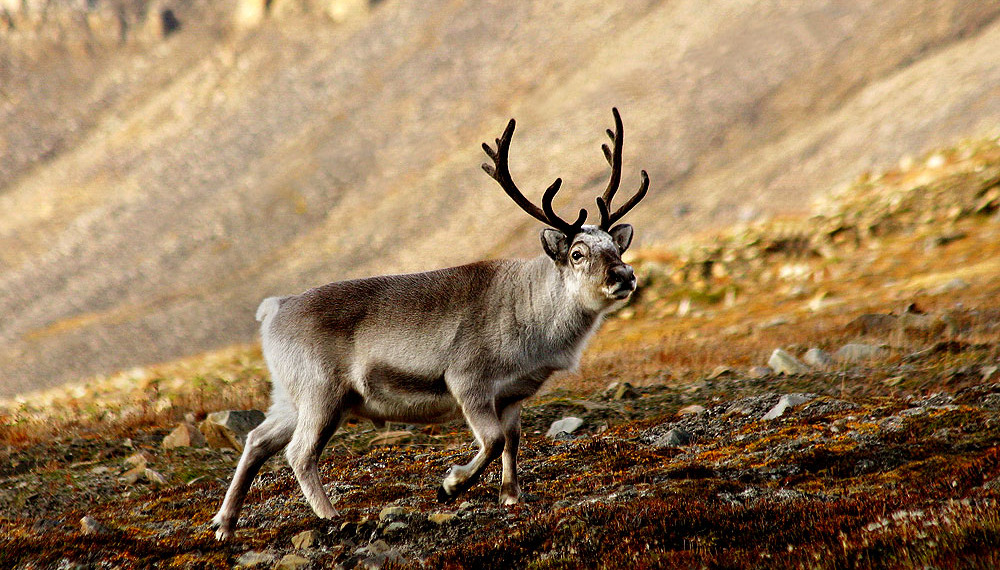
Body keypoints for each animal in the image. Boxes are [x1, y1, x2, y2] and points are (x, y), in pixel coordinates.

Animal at [211, 108, 649, 540]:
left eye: (616, 246)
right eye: (577, 253)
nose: (624, 275)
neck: (533, 313)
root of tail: (274, 309)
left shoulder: (512, 396)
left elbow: (512, 441)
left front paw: (511, 497)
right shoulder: (467, 381)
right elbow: (492, 441)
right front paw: (451, 485)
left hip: (290, 397)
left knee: (256, 440)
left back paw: (224, 525)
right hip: (322, 393)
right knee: (299, 453)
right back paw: (330, 514)